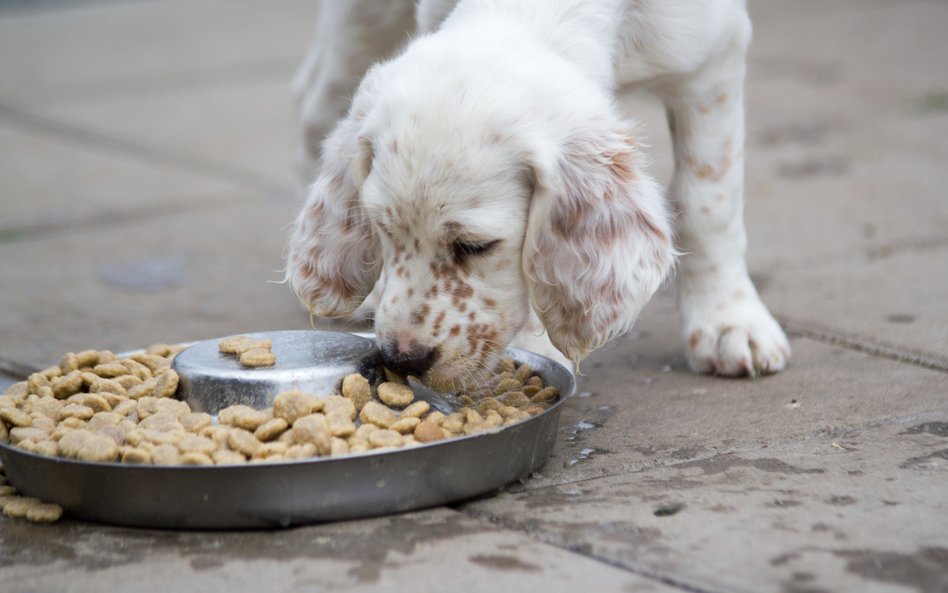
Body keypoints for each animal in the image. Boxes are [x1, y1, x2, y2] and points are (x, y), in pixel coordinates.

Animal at [286, 1, 788, 394]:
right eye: (383, 231)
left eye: (476, 246)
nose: (402, 359)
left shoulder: (713, 60)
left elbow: (708, 202)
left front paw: (730, 322)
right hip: (364, 20)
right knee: (316, 105)